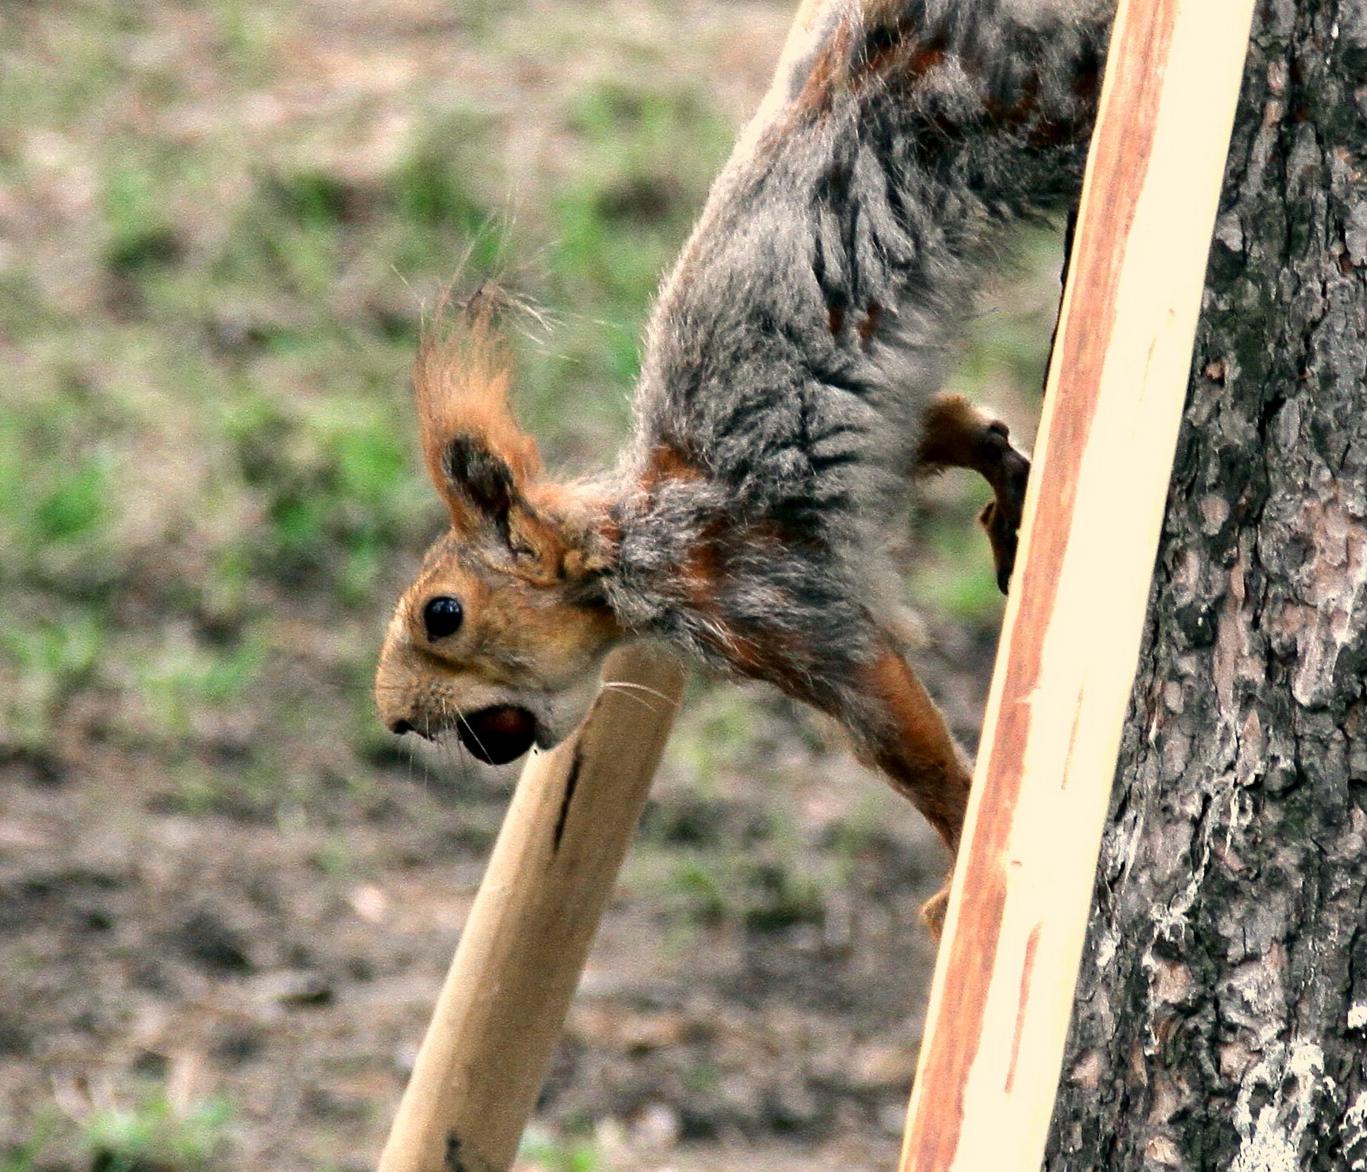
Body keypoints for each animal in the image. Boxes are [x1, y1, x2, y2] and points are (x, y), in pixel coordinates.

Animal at [371, 0, 1110, 935]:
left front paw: (954, 872)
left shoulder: (769, 601)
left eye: (443, 614)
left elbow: (900, 737)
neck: (636, 541)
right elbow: (947, 423)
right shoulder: (871, 448)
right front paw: (1000, 472)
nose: (393, 719)